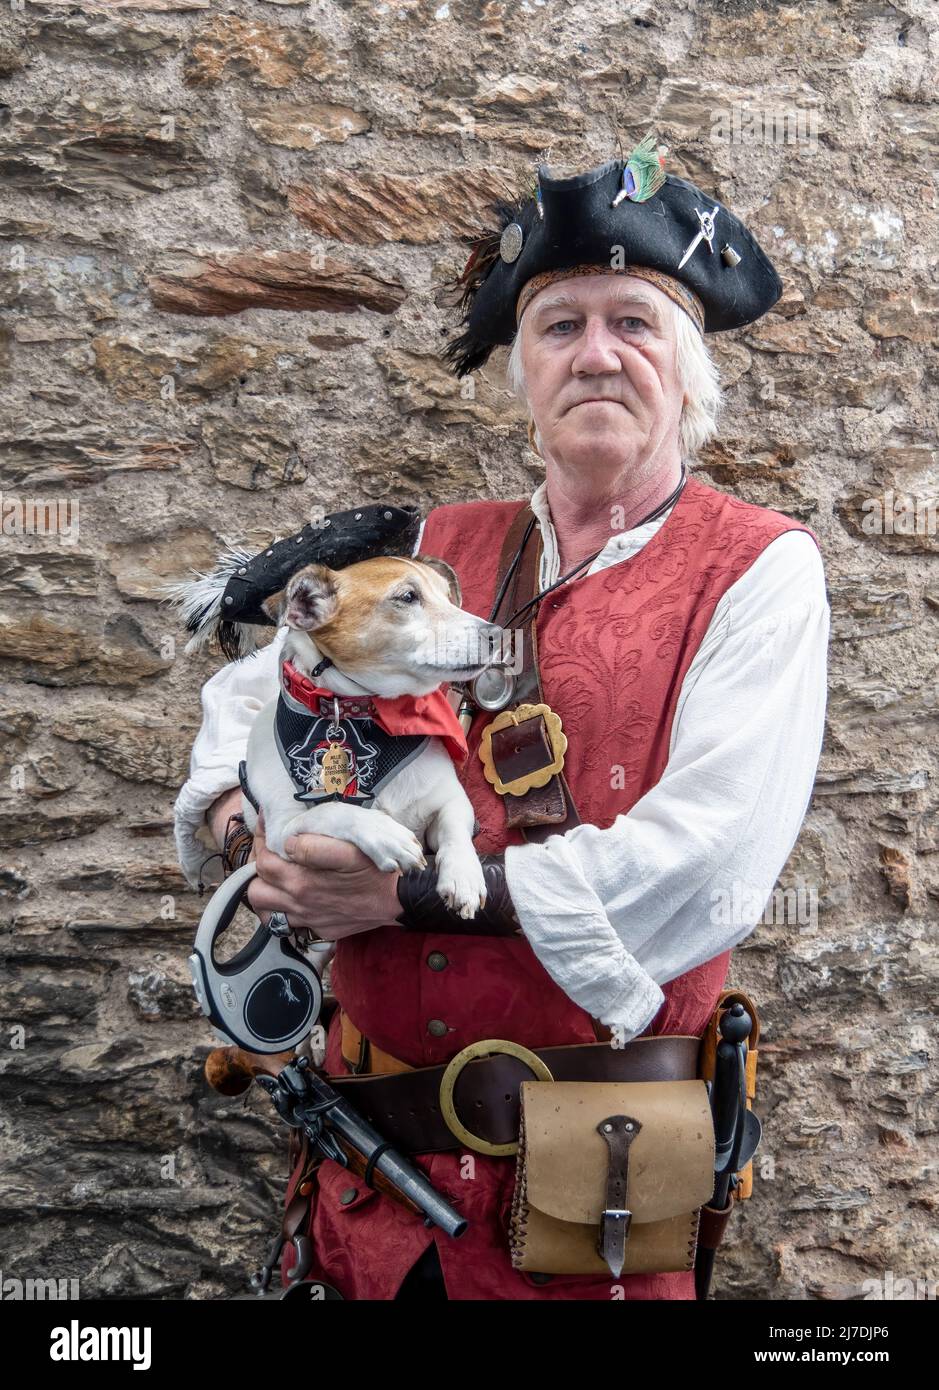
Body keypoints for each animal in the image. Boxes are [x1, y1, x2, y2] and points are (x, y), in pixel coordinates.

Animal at [244, 553, 505, 922]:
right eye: (408, 597)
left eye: (447, 596)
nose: (498, 633)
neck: (375, 717)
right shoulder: (284, 831)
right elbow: (334, 810)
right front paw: (386, 835)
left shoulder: (449, 799)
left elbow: (456, 827)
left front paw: (464, 875)